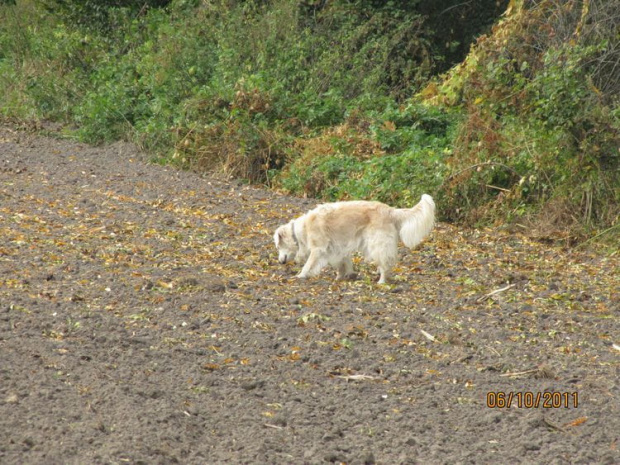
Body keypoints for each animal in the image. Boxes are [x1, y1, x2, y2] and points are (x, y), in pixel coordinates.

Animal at [274, 193, 434, 282]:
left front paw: (300, 275)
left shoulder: (318, 249)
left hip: (377, 244)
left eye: (278, 246)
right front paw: (342, 277)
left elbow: (308, 265)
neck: (303, 229)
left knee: (385, 264)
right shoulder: (337, 249)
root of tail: (390, 210)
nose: (280, 262)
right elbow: (342, 264)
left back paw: (381, 281)